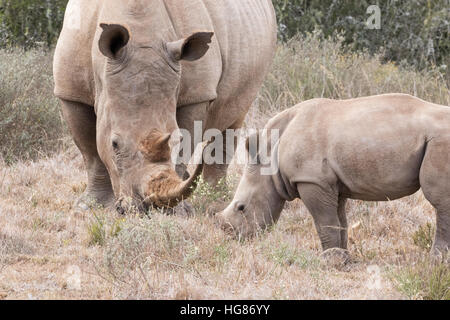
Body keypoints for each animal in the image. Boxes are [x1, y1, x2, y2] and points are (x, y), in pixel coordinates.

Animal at [53, 0, 278, 211]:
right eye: (114, 144)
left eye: (176, 138)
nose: (143, 207)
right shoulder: (70, 92)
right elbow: (91, 152)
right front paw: (89, 206)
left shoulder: (197, 94)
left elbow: (185, 144)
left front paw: (178, 211)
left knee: (233, 117)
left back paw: (215, 201)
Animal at [215, 93, 450, 255]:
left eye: (241, 207)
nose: (236, 239)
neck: (270, 152)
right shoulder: (331, 183)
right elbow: (339, 221)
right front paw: (343, 257)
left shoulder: (312, 180)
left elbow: (324, 221)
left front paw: (330, 260)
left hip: (439, 140)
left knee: (439, 201)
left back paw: (435, 261)